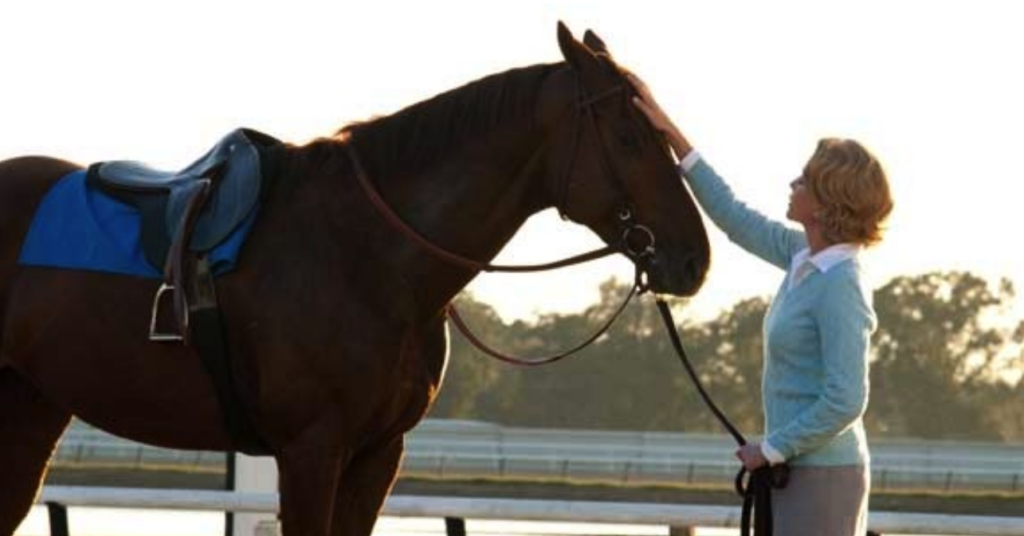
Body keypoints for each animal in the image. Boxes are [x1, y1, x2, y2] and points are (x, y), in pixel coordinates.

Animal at [0, 23, 704, 532]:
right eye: (628, 136)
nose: (695, 258)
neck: (371, 258)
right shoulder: (312, 451)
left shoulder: (377, 456)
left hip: (32, 413)